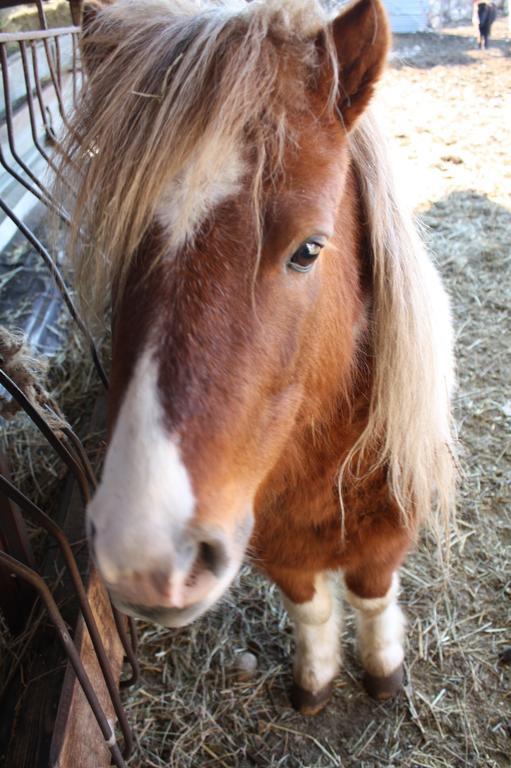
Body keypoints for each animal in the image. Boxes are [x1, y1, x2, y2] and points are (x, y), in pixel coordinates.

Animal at [60, 0, 456, 712]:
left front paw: (383, 672)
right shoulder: (276, 546)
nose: (145, 554)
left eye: (309, 249)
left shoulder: (386, 533)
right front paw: (316, 680)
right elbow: (312, 608)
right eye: (121, 244)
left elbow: (371, 595)